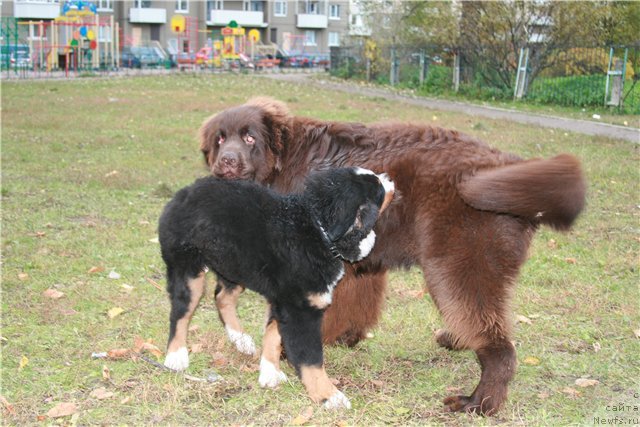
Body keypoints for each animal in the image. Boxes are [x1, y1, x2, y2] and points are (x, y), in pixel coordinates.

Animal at [159, 166, 396, 408]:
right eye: (378, 187)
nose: (389, 178)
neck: (318, 228)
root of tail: (185, 192)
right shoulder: (300, 309)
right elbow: (311, 359)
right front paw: (329, 396)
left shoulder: (283, 300)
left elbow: (273, 334)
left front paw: (269, 372)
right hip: (188, 269)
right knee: (180, 313)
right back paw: (176, 356)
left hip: (234, 265)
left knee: (222, 296)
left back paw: (240, 339)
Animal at [199, 96, 584, 414]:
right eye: (220, 139)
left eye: (250, 139)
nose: (227, 162)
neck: (282, 163)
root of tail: (502, 165)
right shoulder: (353, 264)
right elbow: (351, 305)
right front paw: (343, 338)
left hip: (455, 265)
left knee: (499, 345)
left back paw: (479, 402)